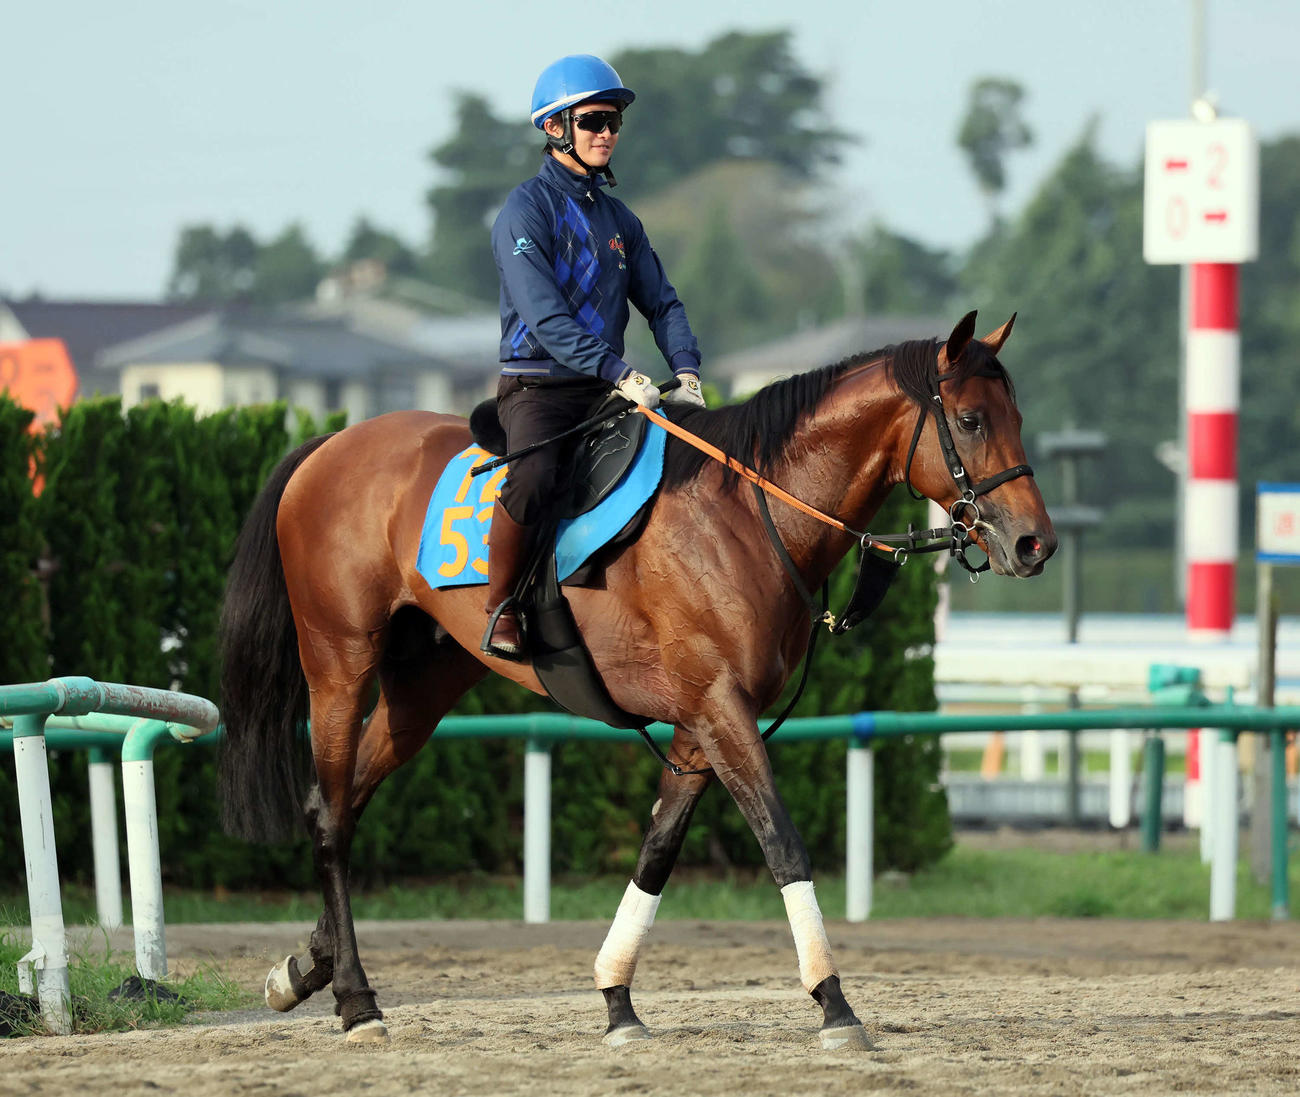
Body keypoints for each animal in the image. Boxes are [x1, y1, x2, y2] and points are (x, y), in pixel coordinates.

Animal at [217, 310, 1055, 1048]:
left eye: (1017, 414)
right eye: (972, 420)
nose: (1034, 543)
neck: (746, 512)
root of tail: (330, 443)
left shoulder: (698, 725)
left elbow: (656, 853)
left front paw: (618, 1000)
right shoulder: (722, 711)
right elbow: (783, 844)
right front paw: (833, 1001)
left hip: (421, 689)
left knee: (349, 800)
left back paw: (306, 966)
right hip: (339, 664)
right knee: (329, 813)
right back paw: (357, 1000)